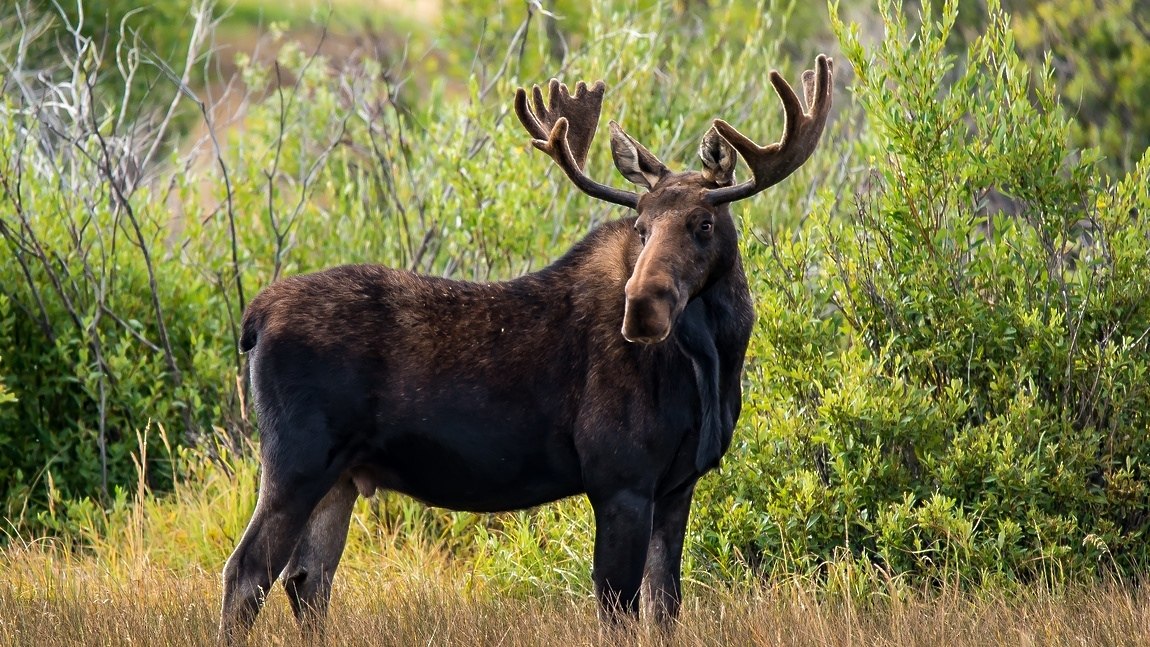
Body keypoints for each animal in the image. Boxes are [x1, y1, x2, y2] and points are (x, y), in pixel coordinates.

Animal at [219, 53, 832, 638]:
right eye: (641, 227)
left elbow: (665, 608)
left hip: (340, 476)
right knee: (247, 571)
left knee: (306, 577)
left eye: (704, 222)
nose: (642, 307)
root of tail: (253, 319)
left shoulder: (677, 487)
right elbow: (618, 610)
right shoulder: (620, 481)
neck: (714, 361)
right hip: (295, 461)